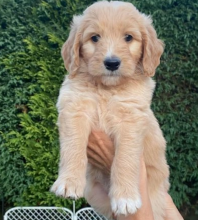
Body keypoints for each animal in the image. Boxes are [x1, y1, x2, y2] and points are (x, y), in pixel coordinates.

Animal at [50, 1, 169, 220]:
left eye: (128, 37)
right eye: (95, 37)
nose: (112, 63)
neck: (107, 89)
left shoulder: (131, 120)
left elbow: (125, 158)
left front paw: (125, 198)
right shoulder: (75, 108)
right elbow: (73, 145)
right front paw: (68, 182)